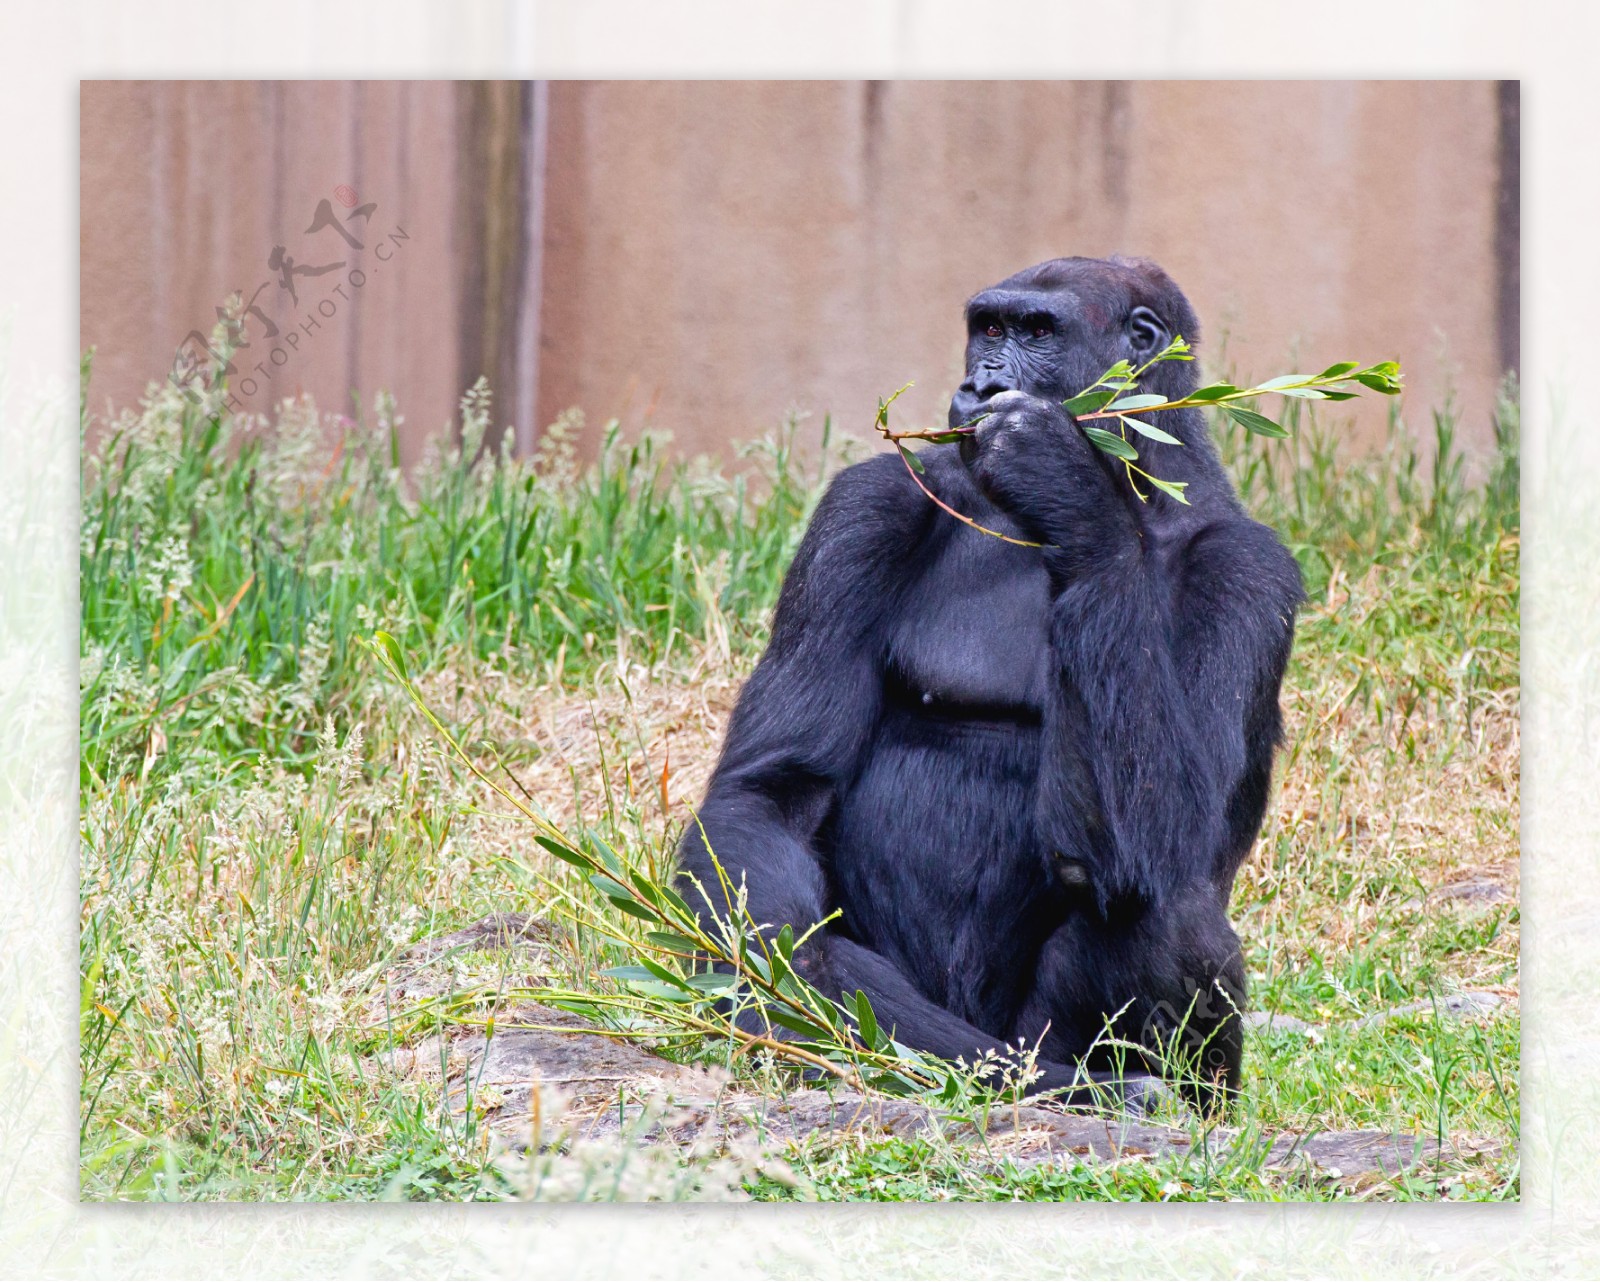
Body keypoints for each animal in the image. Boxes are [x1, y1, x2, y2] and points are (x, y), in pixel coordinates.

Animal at [675, 252, 1299, 1107]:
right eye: (988, 329)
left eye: (1037, 332)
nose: (979, 384)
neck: (1143, 484)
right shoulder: (867, 505)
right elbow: (768, 796)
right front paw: (794, 979)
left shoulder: (1251, 571)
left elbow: (1171, 833)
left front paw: (1064, 486)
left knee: (1167, 903)